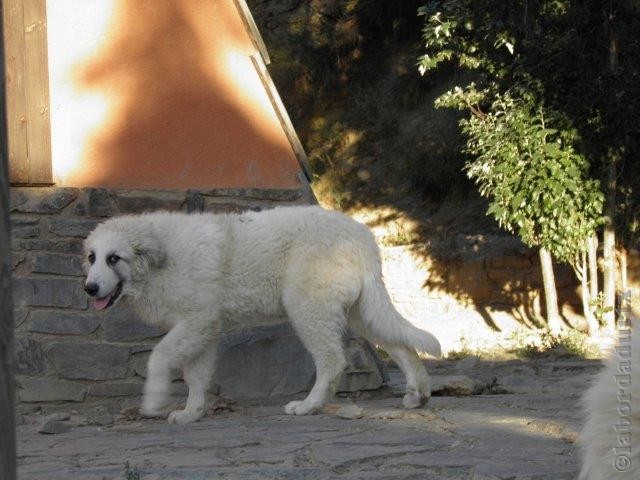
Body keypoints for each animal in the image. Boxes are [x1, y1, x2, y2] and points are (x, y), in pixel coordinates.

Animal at [84, 206, 440, 424]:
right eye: (91, 258)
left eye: (114, 258)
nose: (89, 288)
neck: (159, 260)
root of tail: (363, 238)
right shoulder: (203, 330)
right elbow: (195, 376)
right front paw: (191, 413)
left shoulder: (196, 321)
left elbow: (158, 357)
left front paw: (154, 402)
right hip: (358, 312)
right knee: (402, 347)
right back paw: (417, 395)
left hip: (308, 308)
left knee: (333, 361)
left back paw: (309, 406)